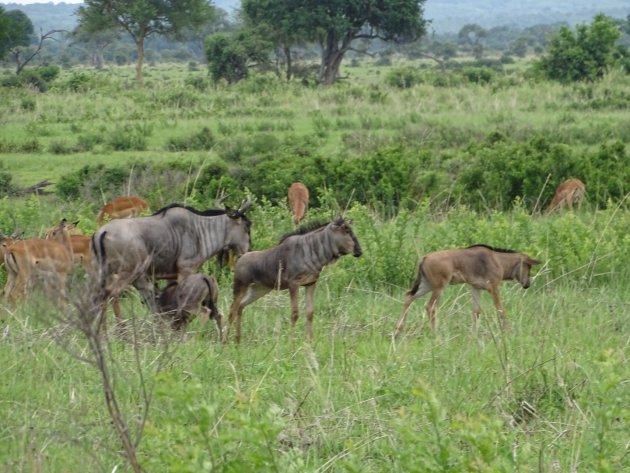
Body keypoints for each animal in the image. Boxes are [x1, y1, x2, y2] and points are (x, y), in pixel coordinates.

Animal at [398, 245, 540, 334]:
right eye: (528, 267)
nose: (527, 284)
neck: (498, 260)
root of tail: (424, 258)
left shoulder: (475, 287)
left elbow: (476, 312)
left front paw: (473, 335)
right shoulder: (493, 287)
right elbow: (501, 310)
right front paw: (507, 331)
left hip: (426, 285)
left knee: (408, 296)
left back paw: (398, 330)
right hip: (439, 287)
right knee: (430, 307)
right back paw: (435, 334)